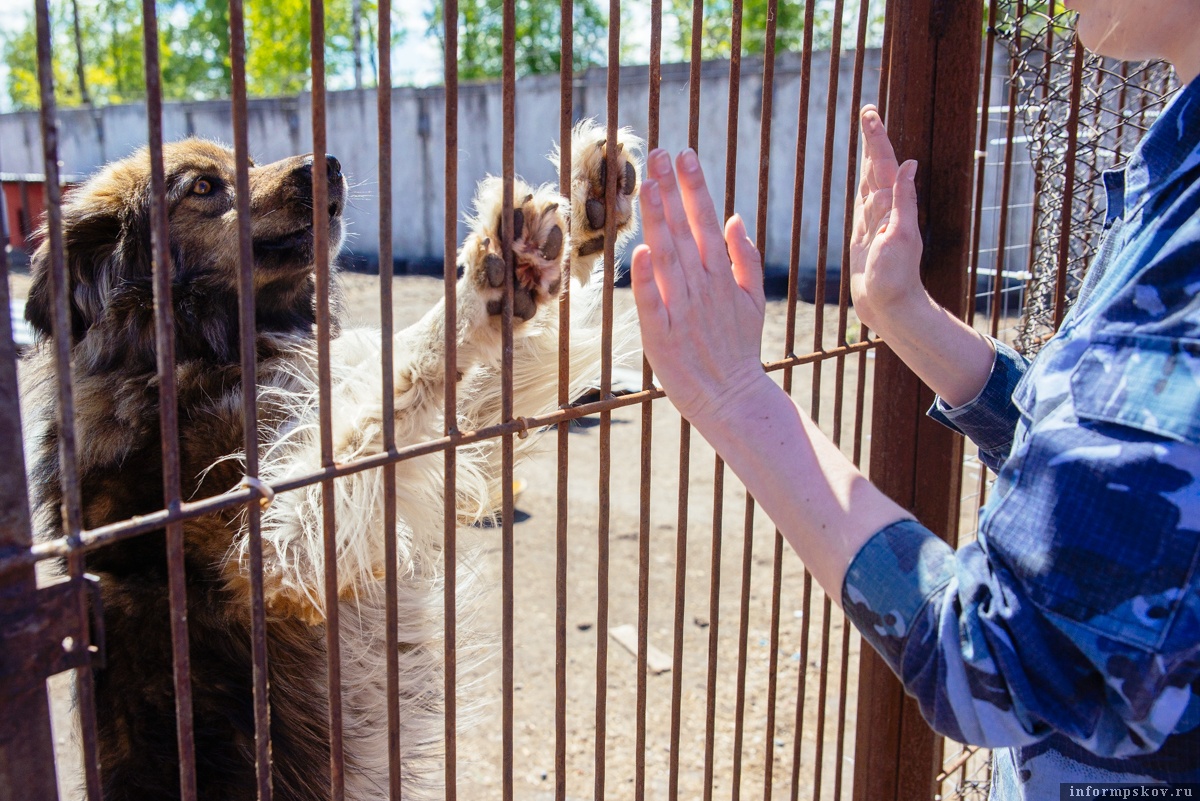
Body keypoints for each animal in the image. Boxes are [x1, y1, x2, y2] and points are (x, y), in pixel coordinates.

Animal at [21, 125, 638, 801]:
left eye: (249, 159)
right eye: (204, 187)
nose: (332, 164)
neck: (191, 350)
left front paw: (587, 212)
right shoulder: (278, 555)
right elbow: (395, 381)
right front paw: (487, 286)